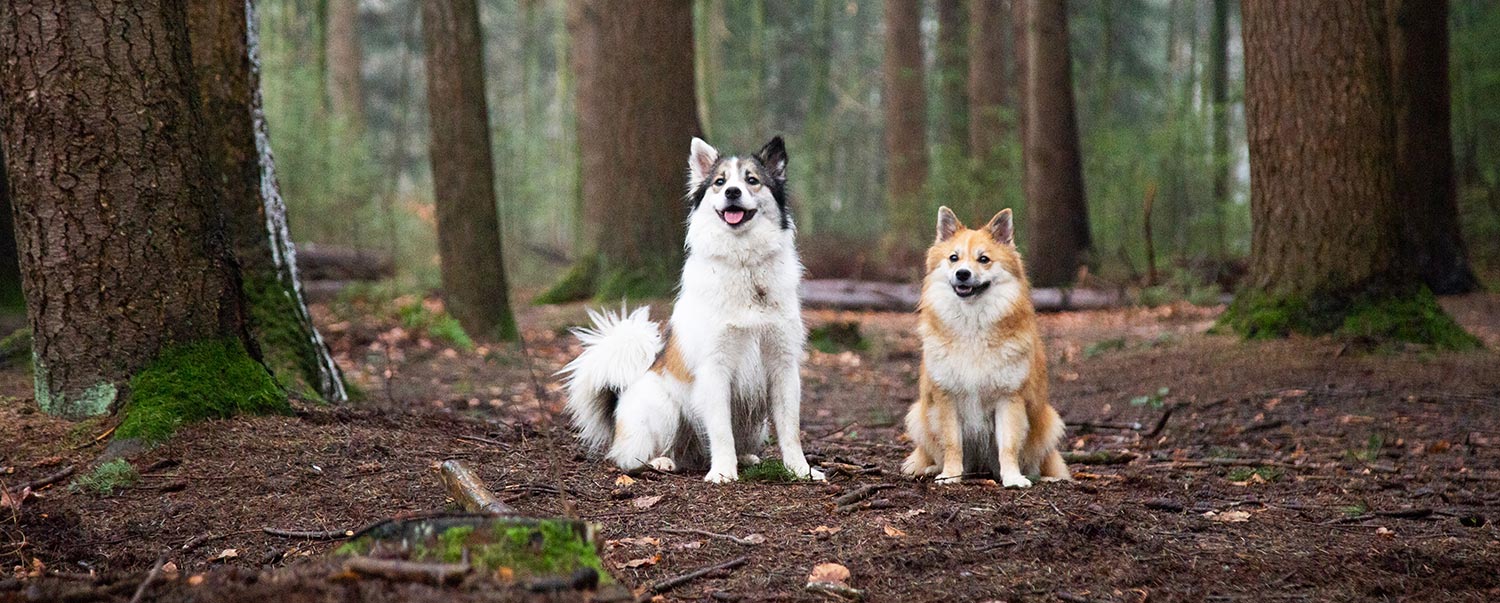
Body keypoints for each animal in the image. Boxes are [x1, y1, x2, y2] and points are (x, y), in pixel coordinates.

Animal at [894, 205, 1074, 489]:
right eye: (954, 258)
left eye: (984, 259)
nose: (963, 274)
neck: (973, 327)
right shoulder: (947, 398)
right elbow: (952, 444)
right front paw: (950, 475)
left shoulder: (1008, 399)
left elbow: (1008, 446)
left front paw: (1012, 478)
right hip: (917, 416)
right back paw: (932, 469)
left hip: (1050, 422)